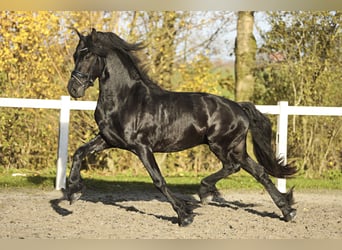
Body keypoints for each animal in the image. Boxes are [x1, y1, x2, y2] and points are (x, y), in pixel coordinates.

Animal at [65, 29, 296, 227]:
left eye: (88, 56)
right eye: (75, 55)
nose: (73, 89)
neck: (125, 99)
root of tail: (239, 107)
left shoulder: (142, 147)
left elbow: (158, 180)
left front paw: (184, 215)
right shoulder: (108, 139)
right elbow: (78, 153)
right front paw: (73, 191)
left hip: (220, 145)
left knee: (233, 167)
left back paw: (205, 191)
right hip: (237, 147)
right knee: (259, 172)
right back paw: (287, 211)